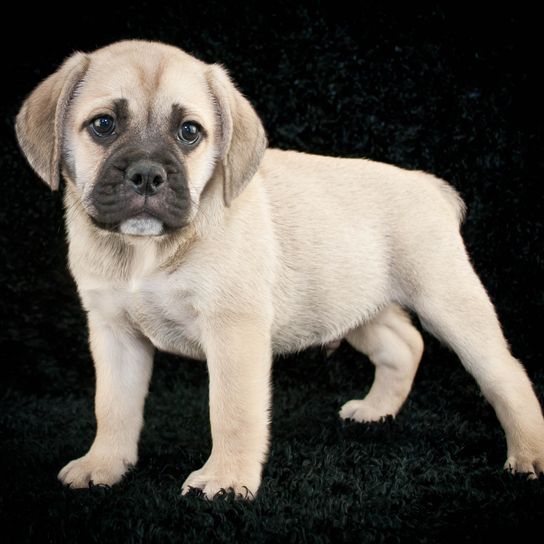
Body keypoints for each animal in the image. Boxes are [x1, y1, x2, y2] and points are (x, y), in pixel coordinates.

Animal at [13, 39, 544, 498]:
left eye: (189, 132)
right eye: (103, 125)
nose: (147, 174)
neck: (149, 249)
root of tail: (427, 185)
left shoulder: (233, 333)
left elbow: (231, 411)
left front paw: (226, 480)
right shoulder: (115, 333)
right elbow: (113, 406)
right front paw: (105, 464)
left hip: (448, 301)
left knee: (504, 374)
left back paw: (527, 454)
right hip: (353, 302)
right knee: (404, 345)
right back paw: (376, 411)